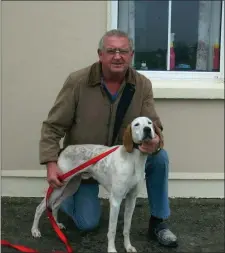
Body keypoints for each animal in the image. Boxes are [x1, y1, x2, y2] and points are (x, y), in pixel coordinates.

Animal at [30, 116, 160, 253]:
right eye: (136, 124)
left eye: (150, 123)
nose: (147, 129)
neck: (134, 160)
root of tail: (65, 149)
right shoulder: (115, 200)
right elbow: (112, 230)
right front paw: (111, 249)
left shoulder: (131, 199)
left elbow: (127, 228)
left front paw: (128, 246)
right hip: (59, 187)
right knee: (40, 207)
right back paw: (35, 231)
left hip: (71, 187)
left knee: (55, 205)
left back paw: (57, 225)